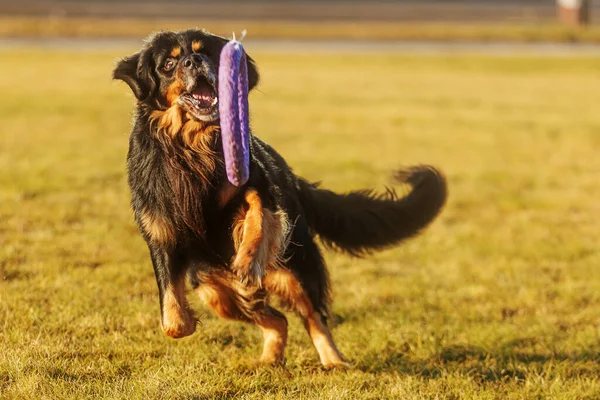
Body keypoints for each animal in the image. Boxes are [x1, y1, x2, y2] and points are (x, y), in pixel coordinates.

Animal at [112, 28, 446, 368]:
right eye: (169, 64)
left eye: (203, 52)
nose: (194, 61)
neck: (193, 146)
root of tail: (292, 174)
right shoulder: (160, 231)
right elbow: (173, 321)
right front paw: (188, 318)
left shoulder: (258, 186)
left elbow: (258, 215)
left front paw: (247, 259)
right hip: (210, 286)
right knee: (269, 315)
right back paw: (268, 355)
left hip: (294, 265)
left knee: (312, 315)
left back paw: (333, 360)